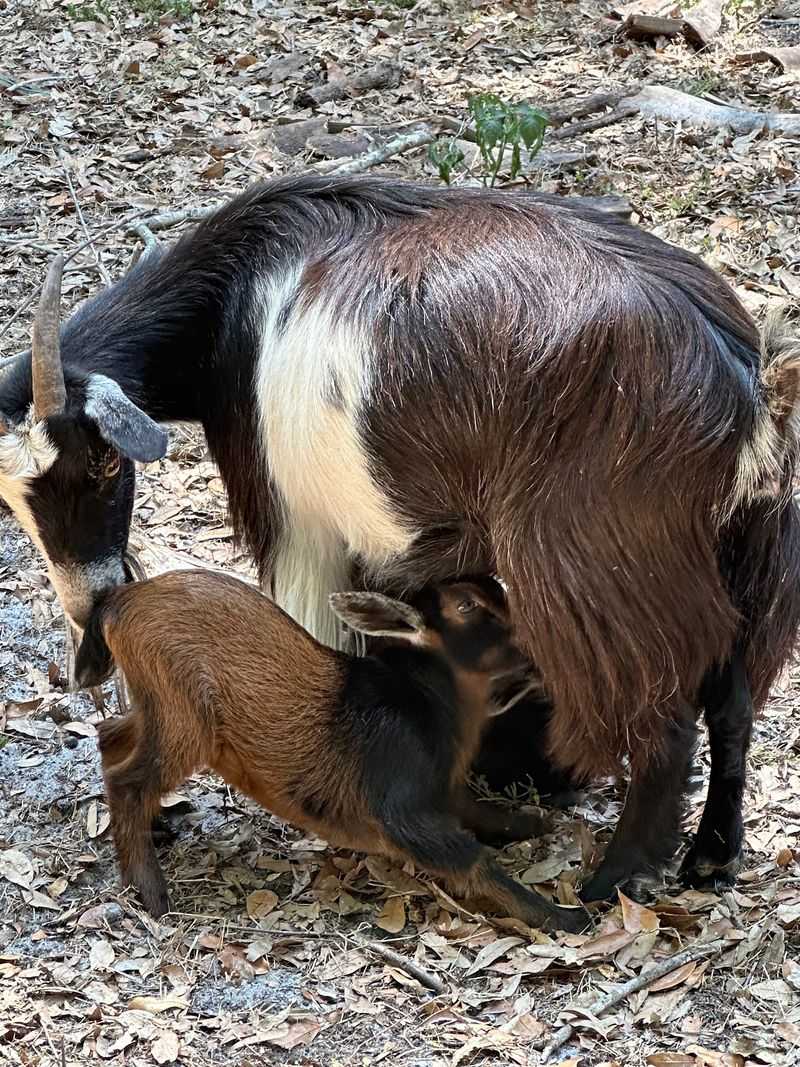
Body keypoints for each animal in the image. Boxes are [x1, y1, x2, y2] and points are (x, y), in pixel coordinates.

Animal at [74, 568, 587, 931]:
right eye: (466, 605)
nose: (541, 645)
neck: (426, 703)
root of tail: (118, 602)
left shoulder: (444, 789)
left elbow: (481, 810)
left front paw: (532, 822)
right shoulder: (402, 808)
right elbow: (471, 860)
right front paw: (564, 916)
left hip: (156, 704)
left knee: (111, 737)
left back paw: (155, 828)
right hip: (185, 714)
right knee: (129, 778)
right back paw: (151, 892)